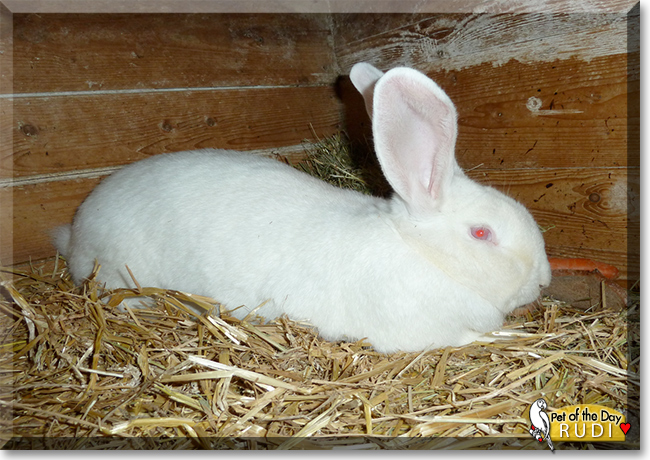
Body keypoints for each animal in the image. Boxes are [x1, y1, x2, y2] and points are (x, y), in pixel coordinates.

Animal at [52, 62, 552, 354]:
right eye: (482, 233)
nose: (544, 280)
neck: (423, 254)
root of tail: (75, 230)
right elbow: (473, 336)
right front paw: (511, 334)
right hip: (114, 272)